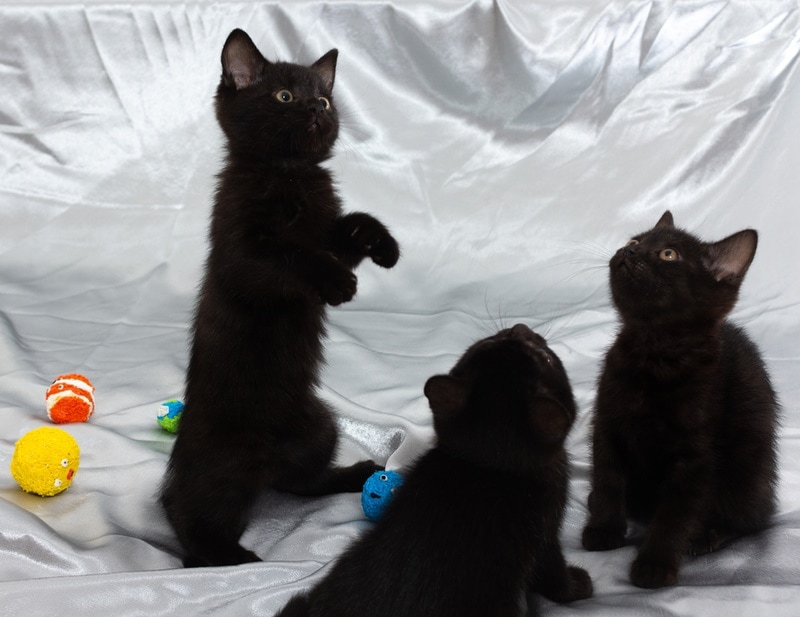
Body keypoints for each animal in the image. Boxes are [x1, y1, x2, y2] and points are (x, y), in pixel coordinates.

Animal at [161, 30, 400, 568]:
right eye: (285, 96)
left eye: (324, 99)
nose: (315, 107)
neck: (290, 174)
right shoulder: (242, 256)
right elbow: (293, 256)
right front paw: (338, 285)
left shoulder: (329, 232)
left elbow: (350, 227)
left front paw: (383, 246)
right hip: (226, 464)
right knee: (191, 523)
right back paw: (233, 559)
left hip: (321, 427)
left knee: (300, 484)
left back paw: (352, 475)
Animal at [276, 324, 592, 612]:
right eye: (546, 357)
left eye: (488, 341)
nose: (518, 327)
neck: (485, 467)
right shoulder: (546, 532)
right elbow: (554, 575)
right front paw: (580, 586)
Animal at [580, 211, 780, 588]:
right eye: (635, 240)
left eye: (669, 255)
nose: (629, 251)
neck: (653, 350)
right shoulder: (607, 424)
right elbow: (608, 477)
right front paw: (603, 528)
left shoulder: (696, 456)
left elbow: (676, 511)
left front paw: (655, 564)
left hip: (747, 469)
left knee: (750, 519)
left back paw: (707, 536)